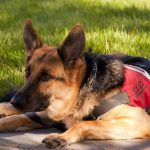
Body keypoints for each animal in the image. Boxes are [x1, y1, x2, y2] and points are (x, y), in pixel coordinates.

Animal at [0, 19, 150, 149]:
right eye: (27, 71)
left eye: (46, 76)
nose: (15, 102)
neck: (84, 87)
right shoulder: (54, 113)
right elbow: (17, 118)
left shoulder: (138, 122)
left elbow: (85, 124)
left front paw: (61, 137)